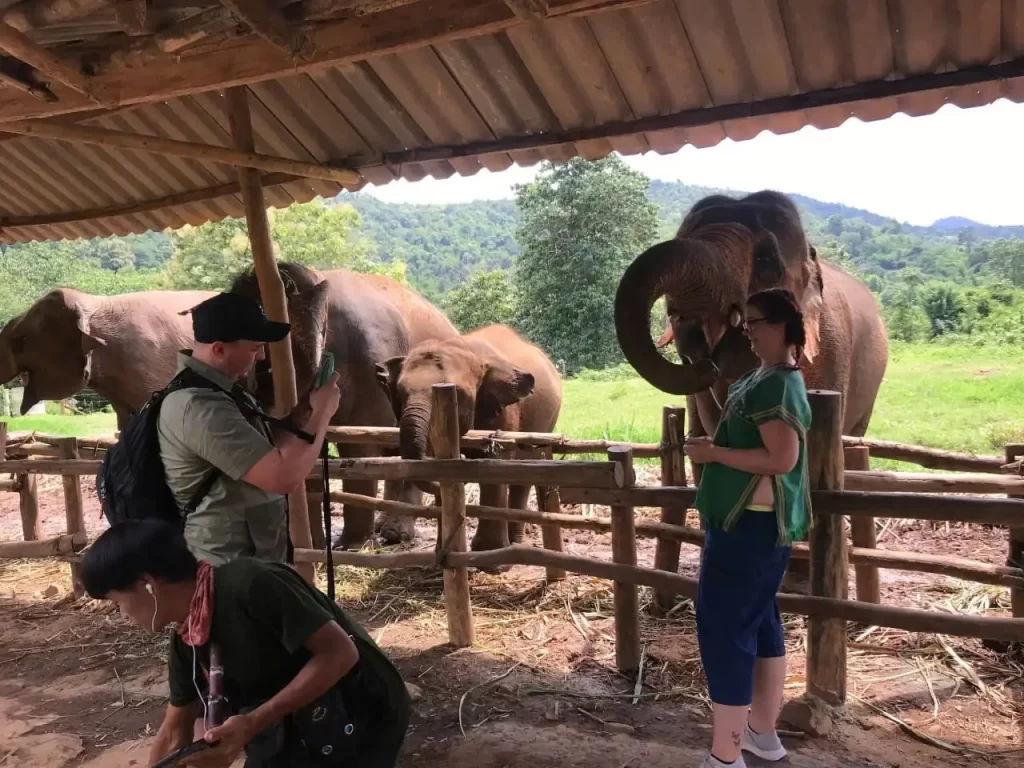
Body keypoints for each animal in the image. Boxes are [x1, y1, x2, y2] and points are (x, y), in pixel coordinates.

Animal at [232, 262, 460, 548]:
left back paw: (393, 533)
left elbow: (360, 443)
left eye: (265, 366)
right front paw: (315, 547)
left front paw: (350, 545)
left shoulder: (371, 368)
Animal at [376, 325, 565, 561]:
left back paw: (514, 543)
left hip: (546, 422)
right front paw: (444, 550)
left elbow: (495, 463)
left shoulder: (503, 411)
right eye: (401, 393)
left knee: (525, 471)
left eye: (456, 393)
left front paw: (489, 558)